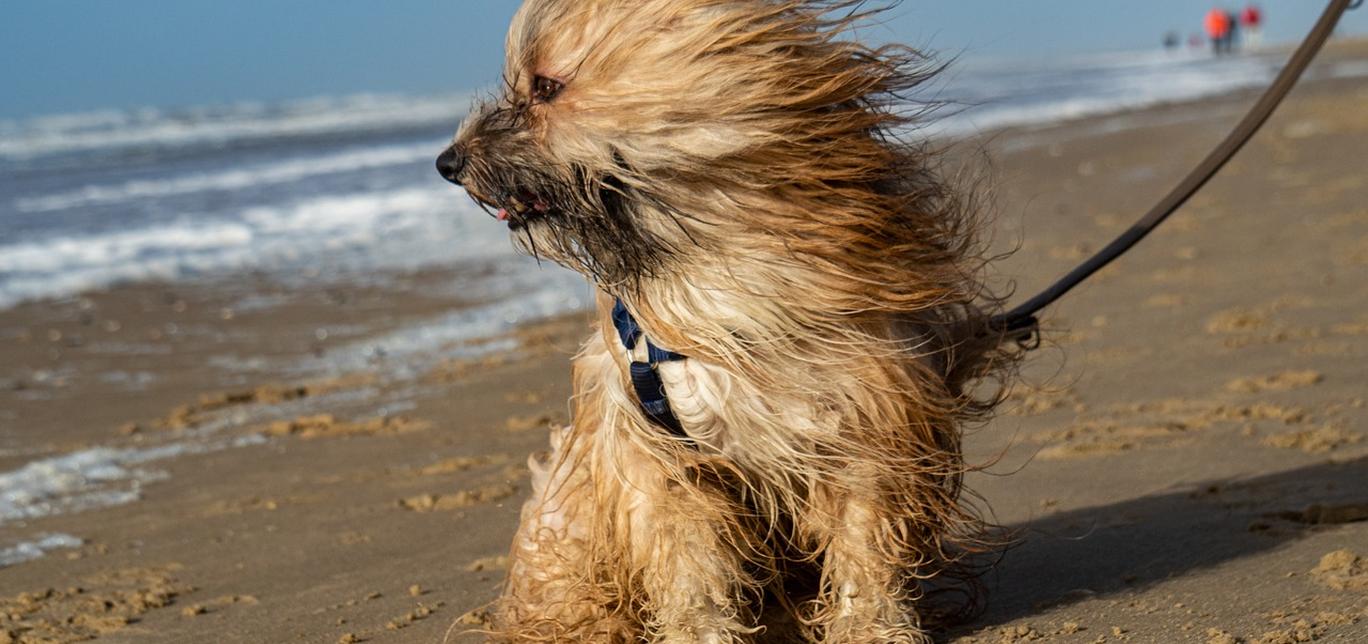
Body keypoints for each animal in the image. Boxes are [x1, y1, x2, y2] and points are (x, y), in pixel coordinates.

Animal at [440, 2, 1017, 642]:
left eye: (545, 87)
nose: (448, 161)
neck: (713, 274)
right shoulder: (659, 457)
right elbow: (687, 560)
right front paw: (700, 630)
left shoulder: (868, 417)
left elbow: (864, 538)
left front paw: (872, 624)